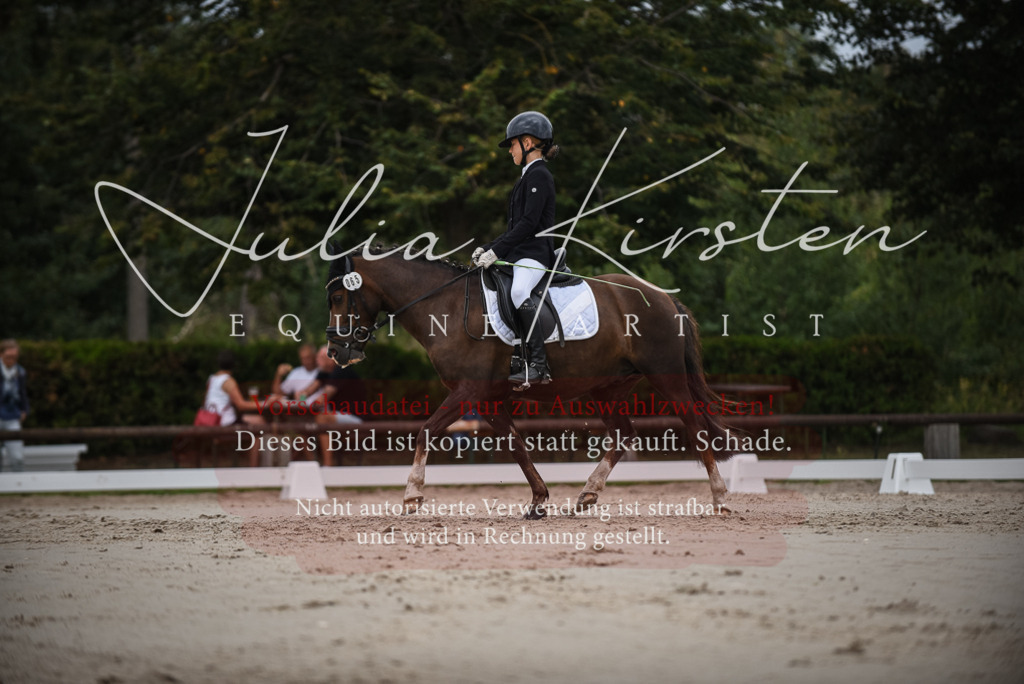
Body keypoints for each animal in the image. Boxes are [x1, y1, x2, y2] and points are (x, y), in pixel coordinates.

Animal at [324, 245, 735, 519]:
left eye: (340, 296)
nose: (336, 351)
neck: (446, 306)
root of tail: (663, 297)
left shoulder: (468, 392)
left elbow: (426, 430)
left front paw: (412, 495)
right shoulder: (488, 399)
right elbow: (517, 447)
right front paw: (538, 500)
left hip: (666, 378)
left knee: (695, 427)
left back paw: (720, 498)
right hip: (607, 388)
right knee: (623, 434)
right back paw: (588, 494)